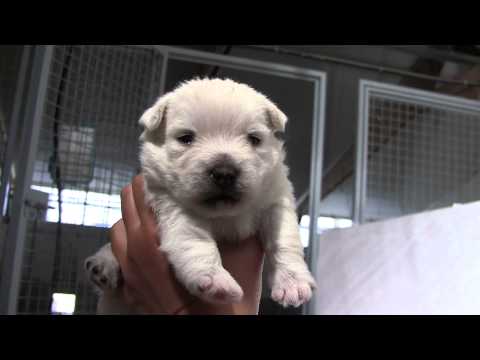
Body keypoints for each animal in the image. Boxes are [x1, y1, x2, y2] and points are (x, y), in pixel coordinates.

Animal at [84, 78, 316, 312]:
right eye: (186, 138)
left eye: (254, 139)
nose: (224, 173)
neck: (226, 215)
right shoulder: (172, 203)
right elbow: (194, 238)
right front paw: (215, 280)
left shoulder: (276, 200)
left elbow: (283, 239)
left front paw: (293, 282)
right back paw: (102, 265)